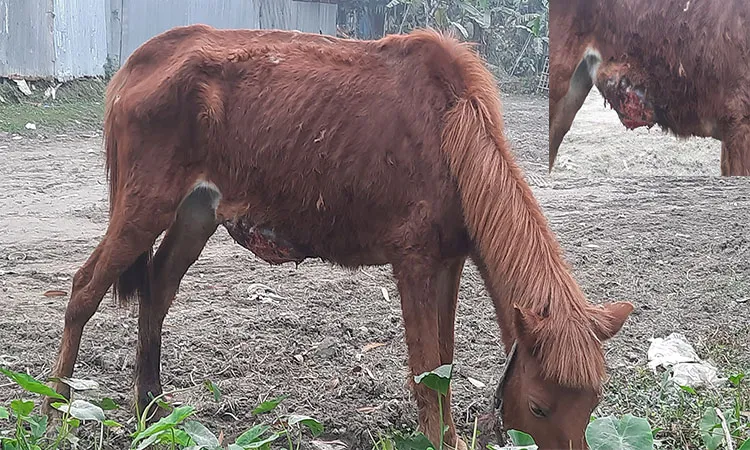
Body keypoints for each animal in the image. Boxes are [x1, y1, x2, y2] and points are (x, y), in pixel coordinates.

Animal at [44, 24, 633, 449]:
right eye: (538, 407)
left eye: (592, 405)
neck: (452, 129)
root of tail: (140, 60)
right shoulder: (414, 262)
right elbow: (427, 373)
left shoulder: (450, 262)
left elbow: (442, 369)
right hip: (143, 208)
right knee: (83, 291)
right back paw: (54, 414)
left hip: (195, 213)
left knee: (158, 289)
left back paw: (154, 412)